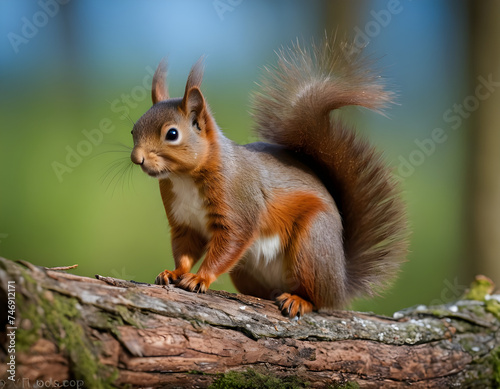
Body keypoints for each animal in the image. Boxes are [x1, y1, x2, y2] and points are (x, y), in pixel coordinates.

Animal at [131, 39, 408, 316]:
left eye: (172, 134)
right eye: (134, 129)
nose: (137, 159)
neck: (184, 178)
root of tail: (340, 285)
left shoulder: (238, 203)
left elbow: (230, 242)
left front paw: (200, 278)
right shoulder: (185, 223)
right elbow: (185, 251)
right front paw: (174, 272)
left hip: (313, 244)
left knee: (318, 300)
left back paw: (299, 300)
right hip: (246, 270)